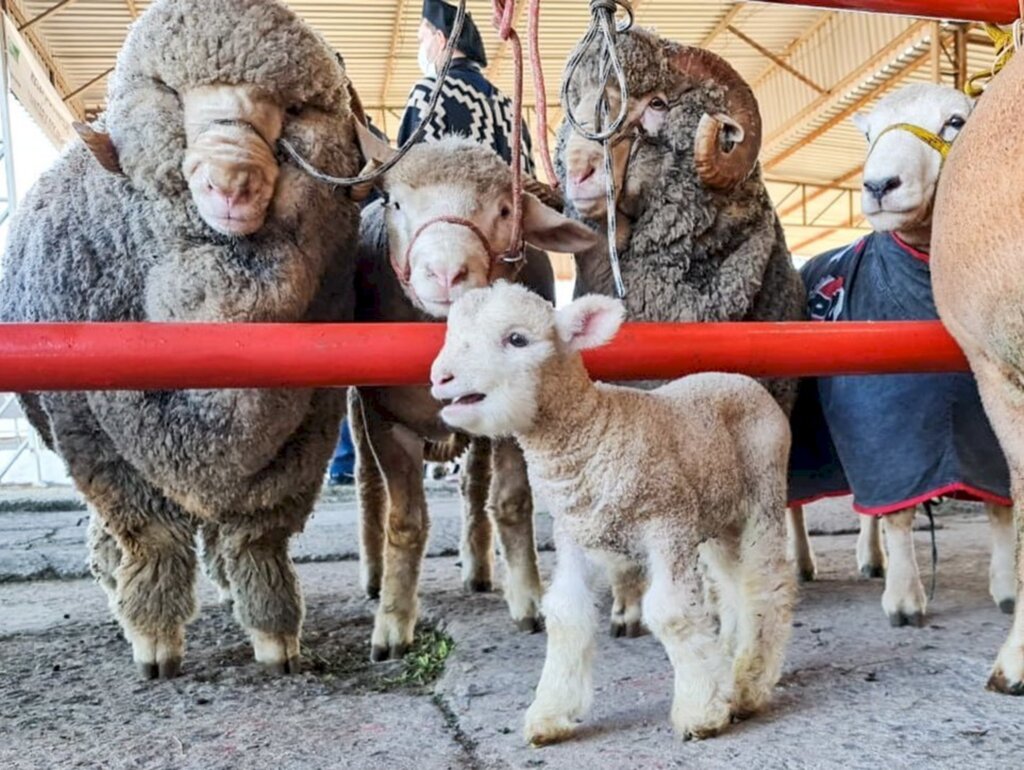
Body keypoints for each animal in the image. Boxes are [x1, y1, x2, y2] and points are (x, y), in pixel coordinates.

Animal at [0, 0, 364, 675]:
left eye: (294, 109)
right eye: (170, 93)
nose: (233, 182)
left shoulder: (309, 422)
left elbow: (257, 536)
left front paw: (274, 633)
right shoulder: (97, 432)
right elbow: (151, 536)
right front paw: (154, 641)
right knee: (112, 534)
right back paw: (116, 585)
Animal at [352, 131, 598, 655]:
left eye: (505, 210)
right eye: (395, 202)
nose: (447, 273)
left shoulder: (513, 413)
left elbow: (510, 501)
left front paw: (528, 600)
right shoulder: (384, 418)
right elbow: (404, 523)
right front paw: (392, 623)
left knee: (473, 485)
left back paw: (479, 567)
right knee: (366, 484)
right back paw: (375, 577)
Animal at [428, 280, 794, 741]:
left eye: (517, 339)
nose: (441, 378)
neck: (595, 430)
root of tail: (742, 379)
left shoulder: (666, 519)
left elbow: (672, 611)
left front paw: (700, 711)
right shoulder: (573, 531)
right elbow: (566, 613)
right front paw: (550, 715)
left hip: (763, 489)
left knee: (765, 584)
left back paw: (749, 684)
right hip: (717, 514)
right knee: (733, 585)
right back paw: (730, 663)